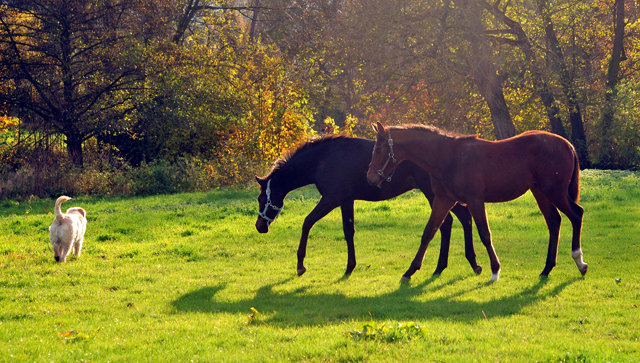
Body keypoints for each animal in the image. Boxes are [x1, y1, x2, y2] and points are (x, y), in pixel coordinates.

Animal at [254, 135, 480, 278]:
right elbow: (348, 231)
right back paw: (448, 266)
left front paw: (301, 265)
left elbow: (307, 222)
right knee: (455, 220)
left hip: (433, 193)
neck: (323, 159)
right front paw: (350, 267)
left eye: (261, 198)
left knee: (453, 220)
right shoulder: (346, 200)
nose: (259, 226)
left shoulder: (331, 199)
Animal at [368, 122, 588, 282]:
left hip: (555, 192)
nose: (370, 178)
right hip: (541, 193)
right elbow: (428, 232)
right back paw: (547, 269)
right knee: (554, 221)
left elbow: (484, 234)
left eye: (378, 149)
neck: (449, 157)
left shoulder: (474, 201)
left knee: (576, 214)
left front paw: (495, 271)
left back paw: (579, 262)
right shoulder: (443, 200)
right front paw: (409, 271)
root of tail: (567, 144)